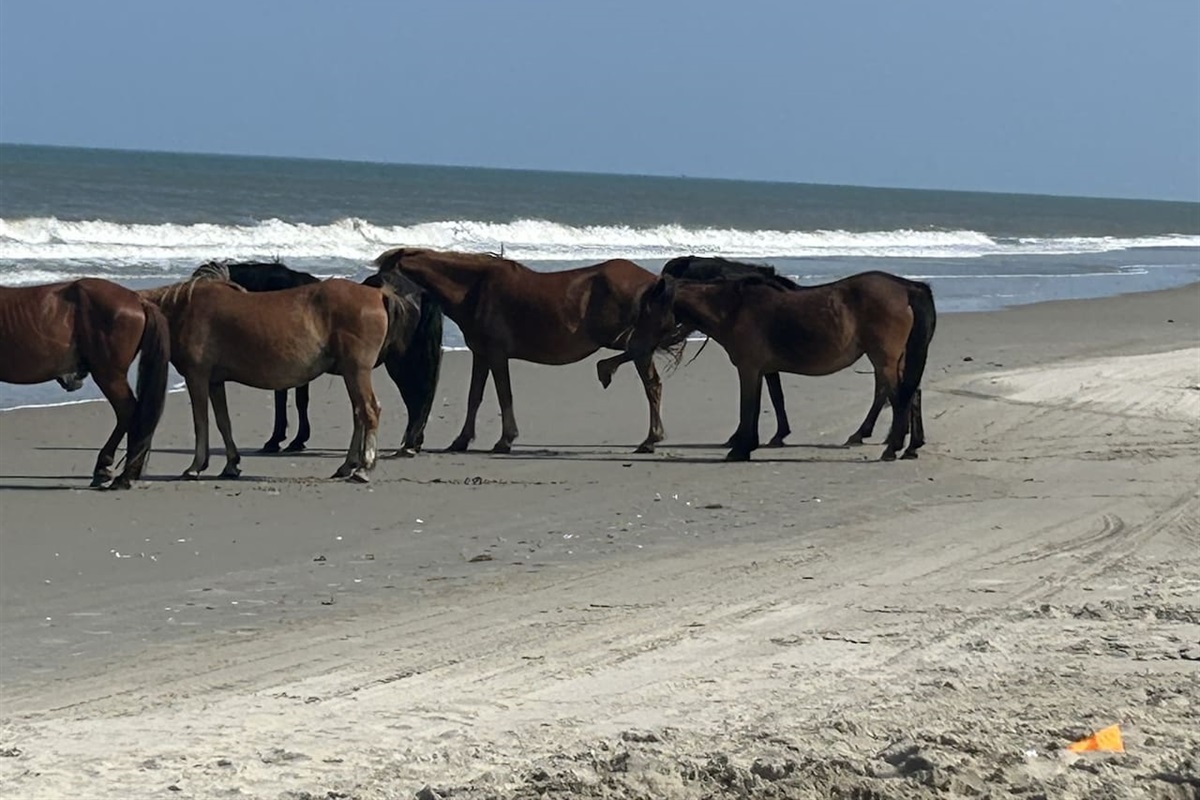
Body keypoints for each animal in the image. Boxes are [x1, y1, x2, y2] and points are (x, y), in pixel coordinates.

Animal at [140, 265, 397, 482]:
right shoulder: (214, 382)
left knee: (368, 411)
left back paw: (364, 468)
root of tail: (376, 294)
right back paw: (347, 466)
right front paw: (231, 464)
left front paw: (195, 466)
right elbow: (223, 422)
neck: (184, 309)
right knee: (358, 414)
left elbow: (201, 421)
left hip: (356, 371)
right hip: (350, 373)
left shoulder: (197, 377)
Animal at [221, 261, 443, 456]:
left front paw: (279, 441)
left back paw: (409, 445)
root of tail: (418, 293)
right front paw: (296, 439)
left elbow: (287, 400)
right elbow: (299, 400)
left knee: (416, 398)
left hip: (400, 364)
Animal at [373, 247, 666, 453]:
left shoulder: (496, 354)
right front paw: (461, 440)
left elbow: (505, 395)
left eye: (384, 276)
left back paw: (649, 437)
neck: (475, 289)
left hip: (630, 341)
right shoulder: (481, 354)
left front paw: (505, 440)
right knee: (652, 380)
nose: (374, 297)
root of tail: (651, 280)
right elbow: (474, 397)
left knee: (650, 382)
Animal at [608, 270, 937, 462]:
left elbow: (749, 407)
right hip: (897, 359)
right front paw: (748, 445)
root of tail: (906, 288)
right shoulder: (762, 370)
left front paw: (740, 449)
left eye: (648, 310)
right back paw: (910, 447)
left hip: (884, 360)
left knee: (900, 397)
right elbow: (766, 403)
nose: (634, 345)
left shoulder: (749, 368)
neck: (734, 309)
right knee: (912, 393)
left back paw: (892, 448)